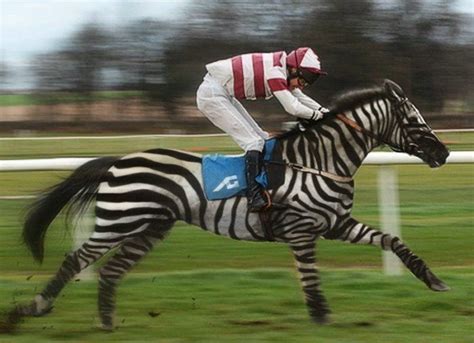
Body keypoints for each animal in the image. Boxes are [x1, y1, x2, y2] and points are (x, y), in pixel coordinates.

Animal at [6, 79, 452, 332]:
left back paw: (106, 321)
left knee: (111, 270)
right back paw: (32, 308)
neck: (319, 160)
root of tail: (118, 160)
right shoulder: (302, 229)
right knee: (76, 260)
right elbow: (309, 276)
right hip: (120, 220)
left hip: (150, 227)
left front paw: (434, 281)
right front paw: (322, 316)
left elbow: (392, 240)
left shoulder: (334, 223)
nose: (444, 152)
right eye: (415, 120)